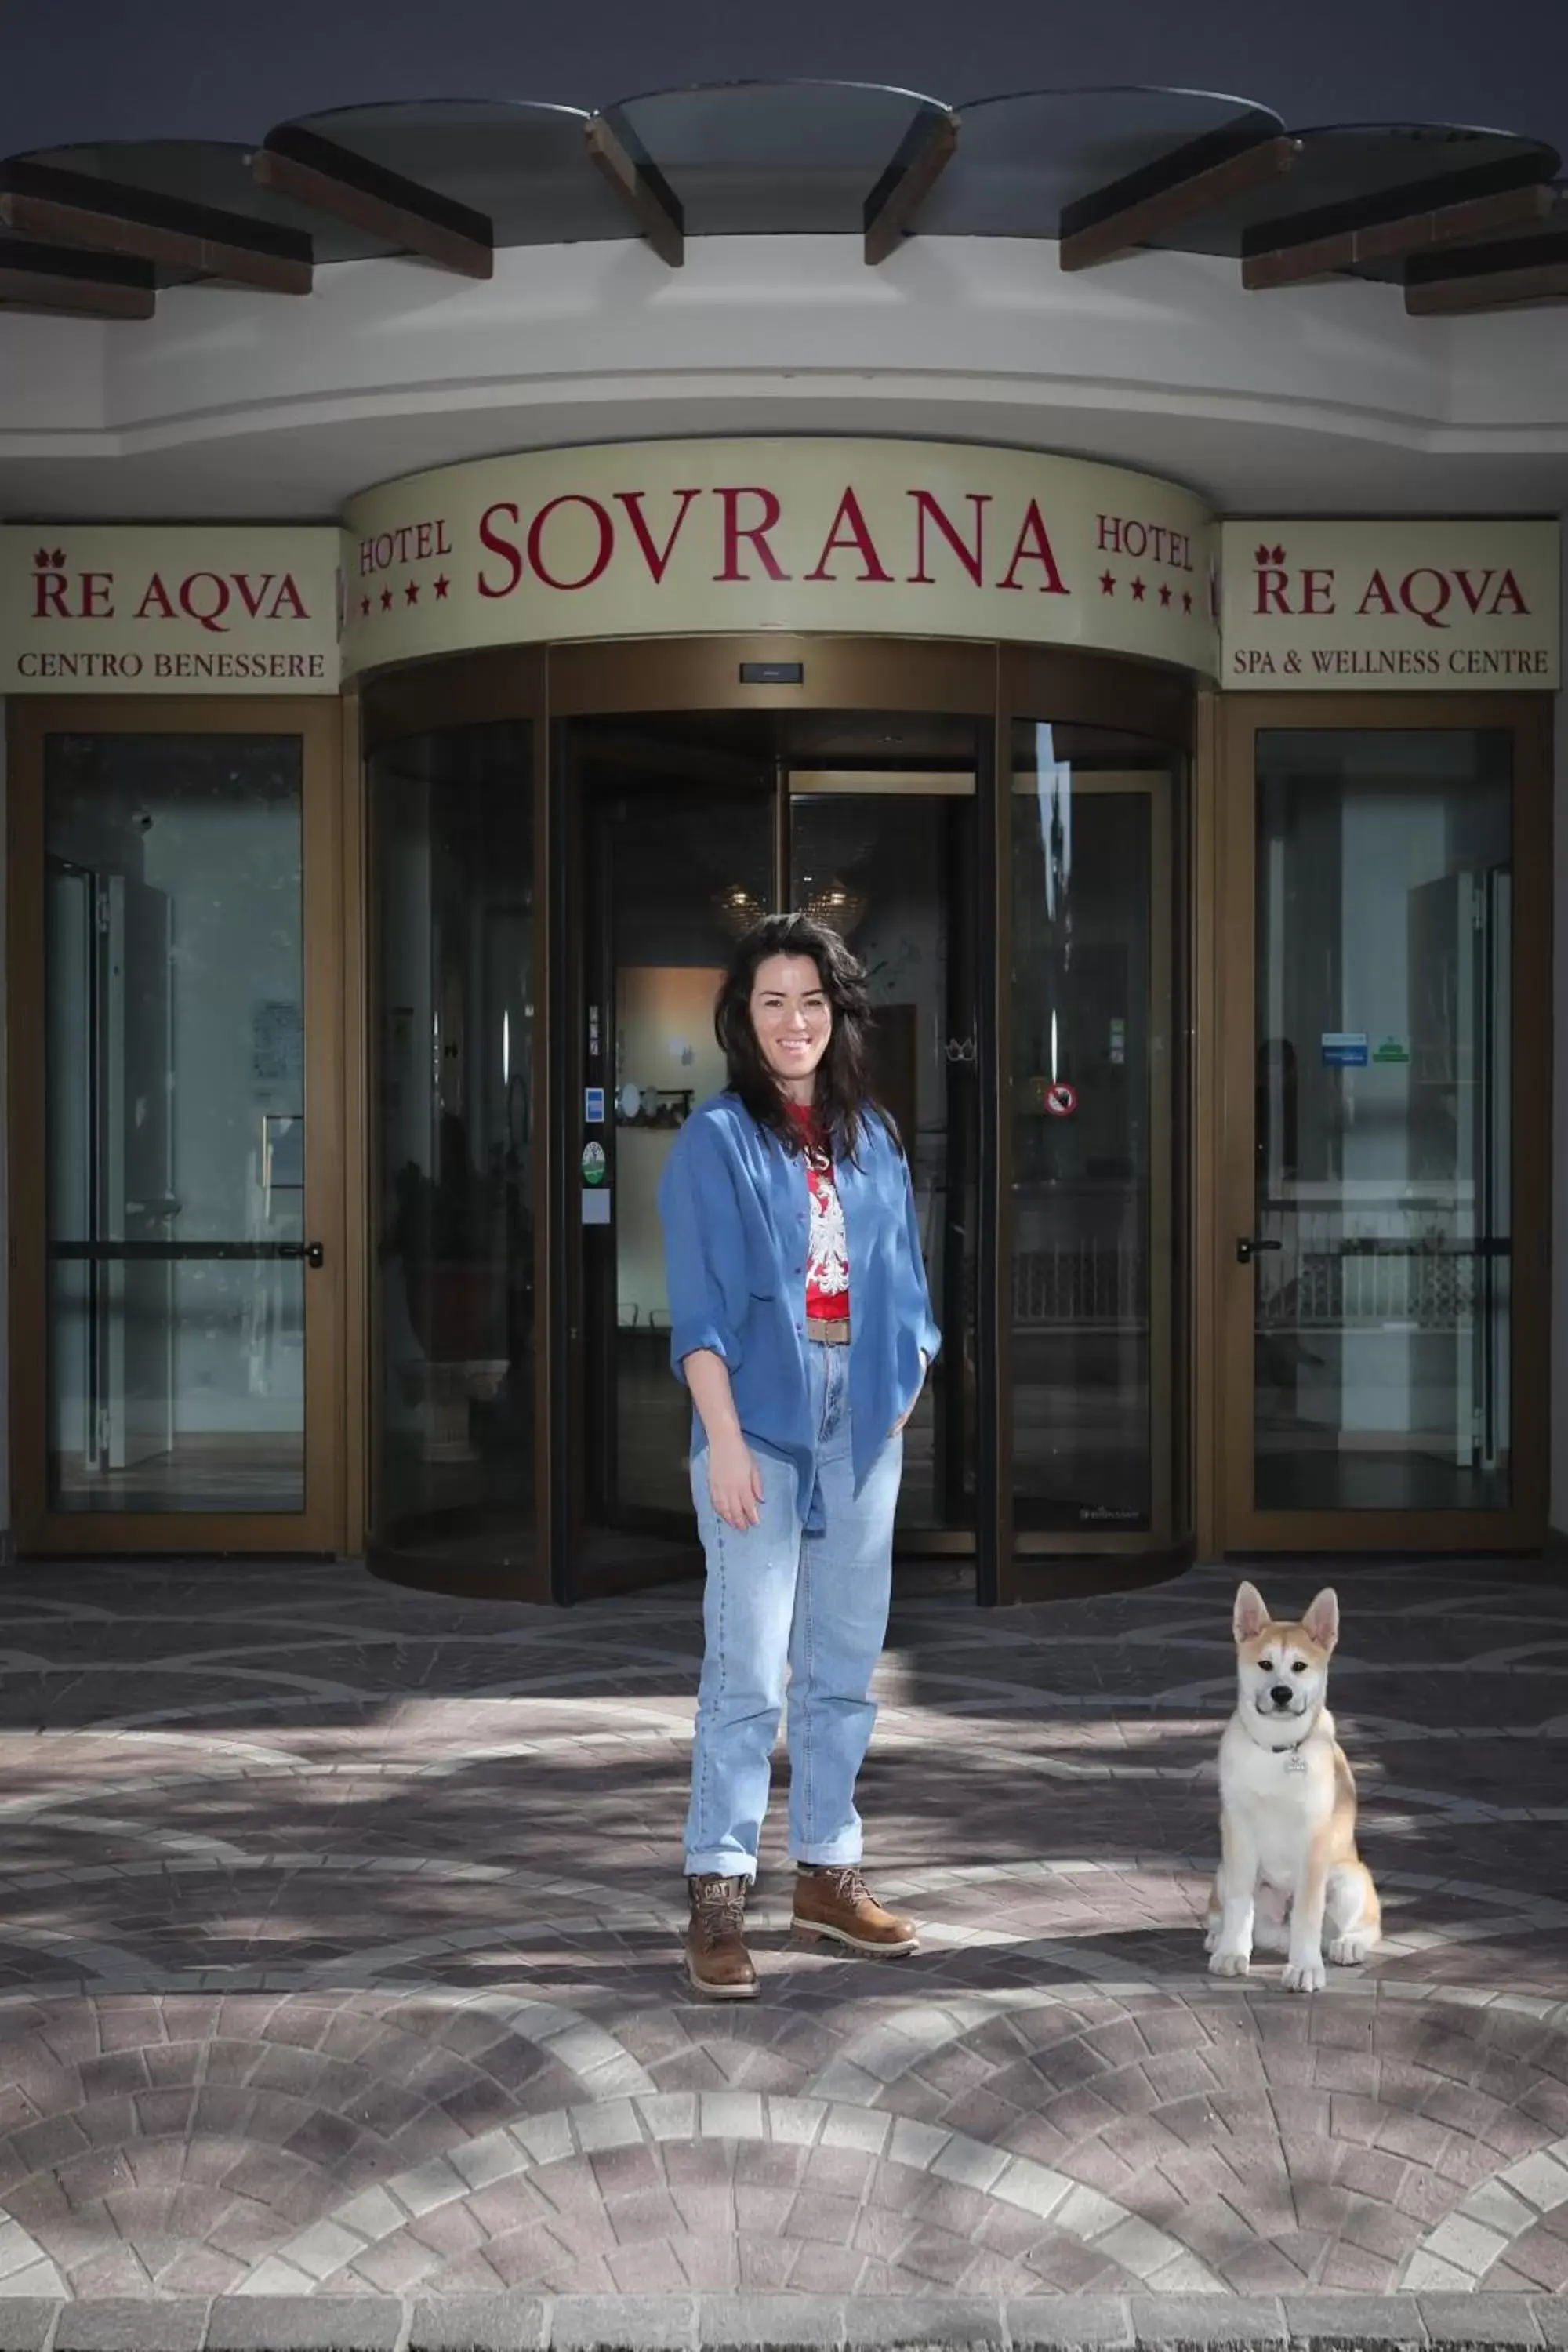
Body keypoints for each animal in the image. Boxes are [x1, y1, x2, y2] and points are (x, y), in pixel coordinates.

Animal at [1213, 1581, 1382, 1985]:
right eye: (1265, 1664)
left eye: (1299, 1666)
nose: (1281, 1693)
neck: (1278, 1750)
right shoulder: (1238, 1831)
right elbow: (1240, 1903)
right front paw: (1231, 1952)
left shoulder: (1314, 1838)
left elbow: (1307, 1912)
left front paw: (1305, 1968)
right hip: (1224, 1869)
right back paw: (1217, 1934)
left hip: (1349, 1878)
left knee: (1368, 1924)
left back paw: (1348, 1945)